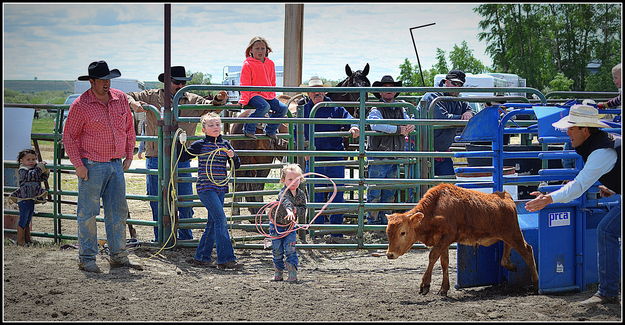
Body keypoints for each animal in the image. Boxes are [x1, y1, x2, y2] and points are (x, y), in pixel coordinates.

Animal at [386, 184, 536, 294]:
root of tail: (507, 198)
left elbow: (432, 256)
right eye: (388, 233)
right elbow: (444, 262)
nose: (389, 254)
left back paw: (536, 284)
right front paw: (444, 288)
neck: (436, 208)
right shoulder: (442, 241)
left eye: (403, 232)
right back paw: (510, 265)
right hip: (506, 234)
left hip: (514, 233)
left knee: (527, 251)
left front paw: (425, 285)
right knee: (507, 250)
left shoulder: (447, 237)